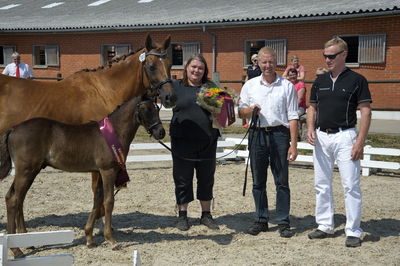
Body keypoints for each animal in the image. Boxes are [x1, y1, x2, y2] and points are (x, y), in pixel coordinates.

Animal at [0, 95, 165, 256]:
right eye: (145, 109)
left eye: (157, 108)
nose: (161, 132)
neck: (114, 132)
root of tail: (13, 129)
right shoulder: (108, 171)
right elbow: (109, 201)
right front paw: (111, 240)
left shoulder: (99, 172)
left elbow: (97, 199)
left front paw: (89, 239)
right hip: (26, 171)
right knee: (14, 199)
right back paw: (16, 249)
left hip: (30, 172)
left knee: (16, 198)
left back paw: (26, 242)